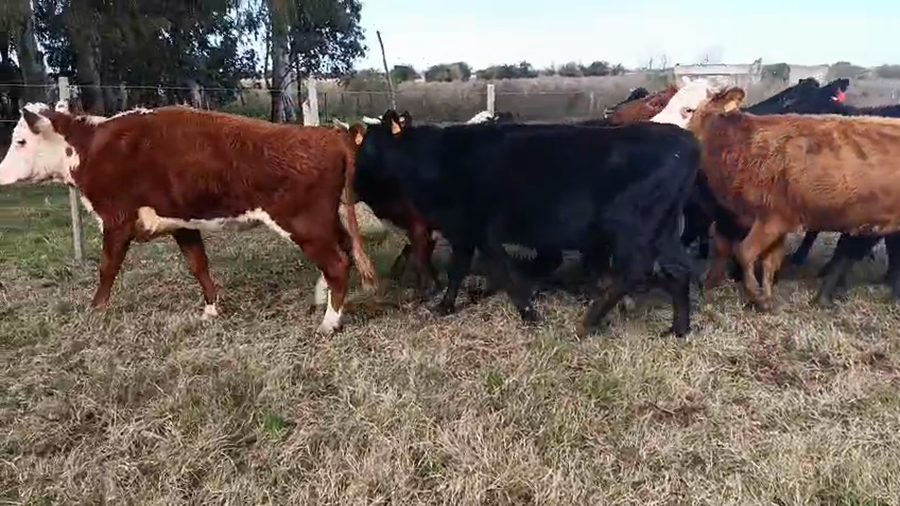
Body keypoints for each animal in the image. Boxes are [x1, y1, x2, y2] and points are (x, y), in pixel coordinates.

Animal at [0, 102, 376, 335]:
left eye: (20, 141)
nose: (1, 174)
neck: (97, 148)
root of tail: (329, 134)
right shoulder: (182, 224)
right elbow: (198, 265)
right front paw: (211, 310)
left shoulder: (117, 220)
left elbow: (107, 267)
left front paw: (96, 309)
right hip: (326, 221)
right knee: (345, 252)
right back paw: (322, 298)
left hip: (305, 224)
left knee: (338, 264)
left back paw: (329, 321)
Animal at [687, 86, 900, 310]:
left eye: (692, 110)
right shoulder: (779, 222)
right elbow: (769, 261)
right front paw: (767, 298)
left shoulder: (770, 218)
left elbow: (746, 252)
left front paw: (756, 296)